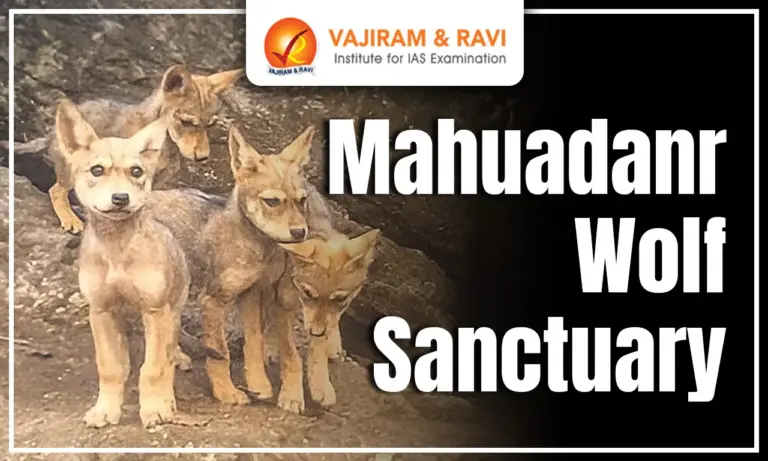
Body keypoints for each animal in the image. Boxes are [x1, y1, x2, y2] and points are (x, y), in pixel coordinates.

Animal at [5, 64, 243, 234]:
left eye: (210, 125)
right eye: (186, 122)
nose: (203, 157)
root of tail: (50, 135)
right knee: (56, 191)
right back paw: (70, 218)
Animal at [53, 97, 195, 428]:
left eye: (136, 171)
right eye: (97, 170)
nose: (121, 198)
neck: (117, 251)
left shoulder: (156, 311)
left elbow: (153, 369)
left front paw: (155, 409)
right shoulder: (101, 312)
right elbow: (111, 369)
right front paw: (105, 409)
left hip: (172, 313)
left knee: (167, 359)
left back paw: (168, 401)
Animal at [278, 229, 381, 407]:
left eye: (340, 299)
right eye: (307, 293)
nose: (316, 332)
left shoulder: (322, 322)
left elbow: (319, 348)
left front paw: (320, 384)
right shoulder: (279, 306)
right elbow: (291, 355)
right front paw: (292, 395)